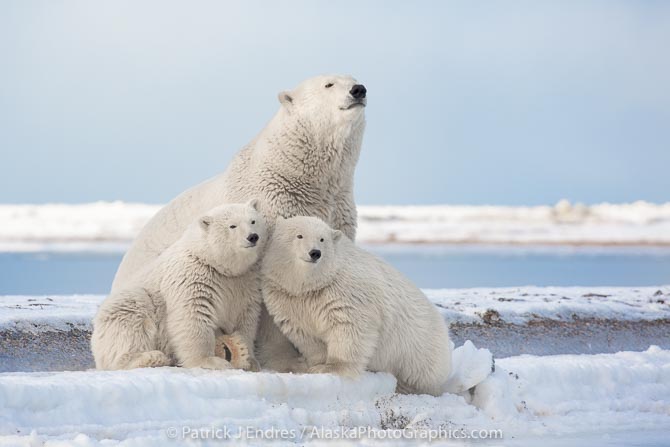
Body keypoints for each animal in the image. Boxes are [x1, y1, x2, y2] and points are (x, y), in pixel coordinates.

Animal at [113, 75, 370, 372]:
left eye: (354, 79)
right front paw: (284, 358)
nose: (358, 90)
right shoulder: (272, 208)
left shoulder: (337, 209)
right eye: (328, 84)